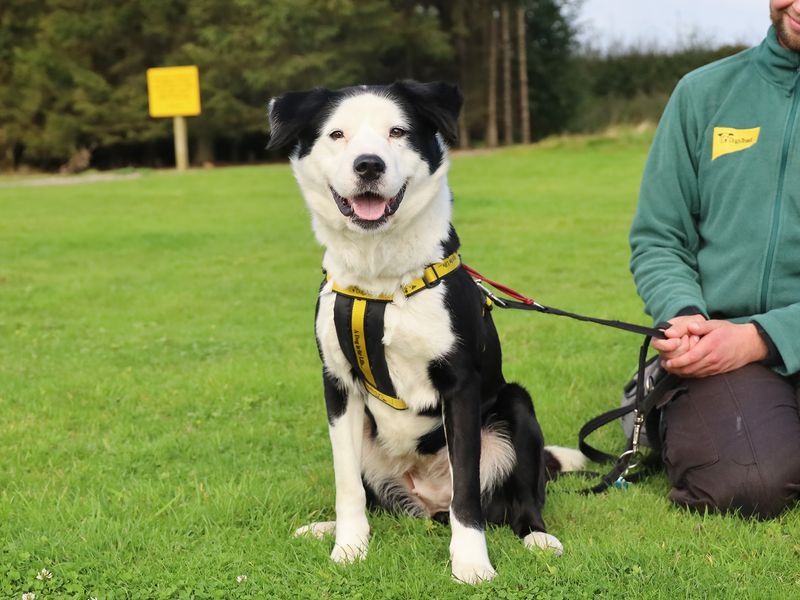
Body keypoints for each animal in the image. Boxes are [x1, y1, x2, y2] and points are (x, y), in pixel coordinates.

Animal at [266, 82, 584, 584]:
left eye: (398, 131)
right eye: (337, 134)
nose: (368, 165)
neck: (382, 279)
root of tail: (428, 499)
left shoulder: (461, 386)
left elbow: (467, 493)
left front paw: (471, 563)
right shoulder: (337, 385)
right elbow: (346, 485)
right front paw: (348, 548)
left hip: (515, 406)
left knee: (518, 499)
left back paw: (538, 537)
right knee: (371, 496)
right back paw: (326, 528)